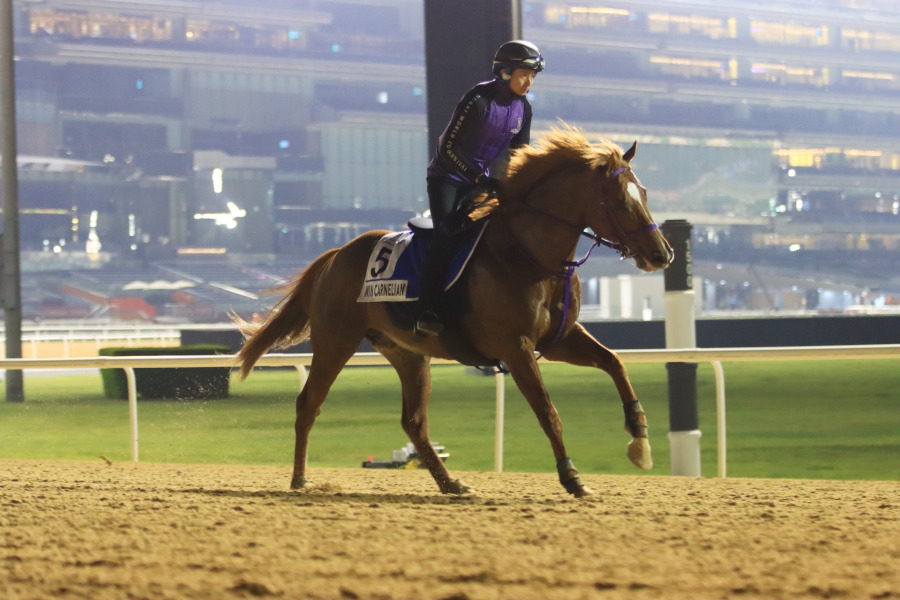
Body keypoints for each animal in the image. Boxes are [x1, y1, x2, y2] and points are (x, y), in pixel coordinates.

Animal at [236, 125, 672, 496]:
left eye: (644, 193)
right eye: (620, 201)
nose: (661, 254)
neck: (530, 255)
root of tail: (336, 255)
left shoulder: (560, 339)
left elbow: (614, 362)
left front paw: (639, 439)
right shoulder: (516, 347)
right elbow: (548, 411)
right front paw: (572, 477)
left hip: (409, 354)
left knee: (413, 422)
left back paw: (451, 483)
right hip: (335, 341)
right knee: (308, 404)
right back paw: (300, 480)